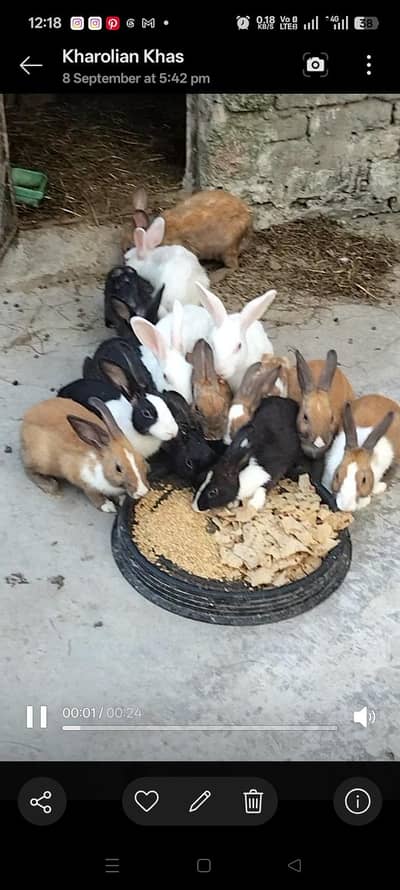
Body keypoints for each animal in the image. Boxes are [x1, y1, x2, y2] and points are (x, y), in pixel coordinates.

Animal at [20, 396, 148, 513]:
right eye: (118, 468)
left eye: (141, 459)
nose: (142, 492)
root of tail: (26, 419)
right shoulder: (85, 483)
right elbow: (94, 495)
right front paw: (107, 506)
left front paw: (121, 499)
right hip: (42, 461)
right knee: (28, 469)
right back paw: (50, 485)